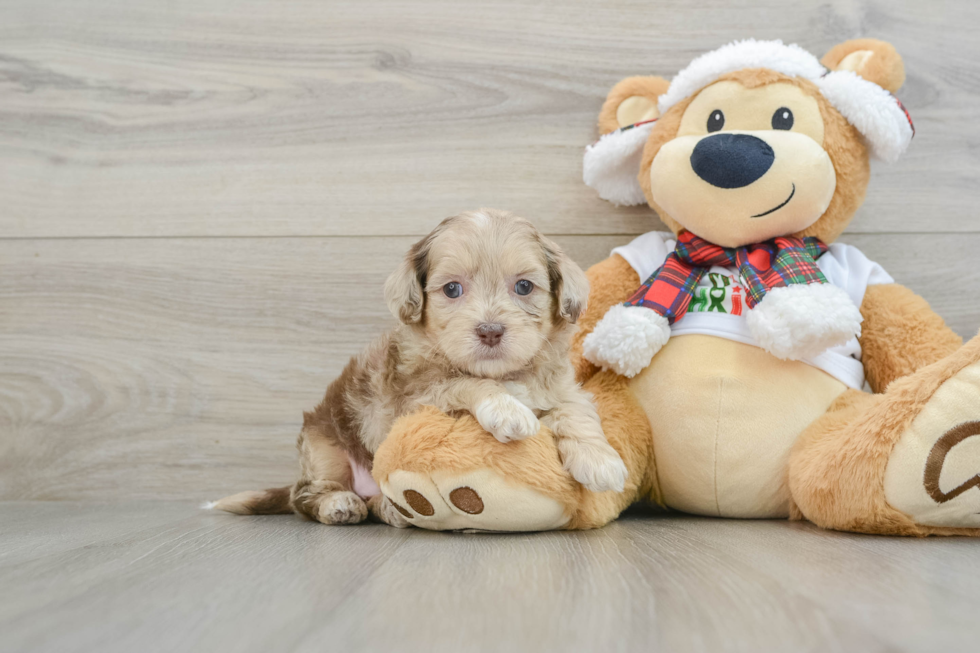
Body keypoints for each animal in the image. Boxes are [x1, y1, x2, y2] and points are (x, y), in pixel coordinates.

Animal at [212, 209, 628, 524]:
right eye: (452, 290)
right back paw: (340, 504)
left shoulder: (560, 387)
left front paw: (600, 459)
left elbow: (575, 411)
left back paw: (385, 507)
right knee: (306, 496)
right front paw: (506, 408)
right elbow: (466, 383)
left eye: (524, 287)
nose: (490, 330)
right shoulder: (414, 400)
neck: (503, 373)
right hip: (322, 446)